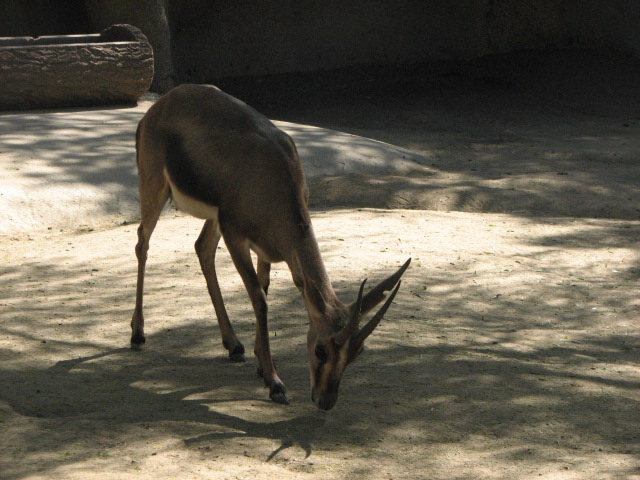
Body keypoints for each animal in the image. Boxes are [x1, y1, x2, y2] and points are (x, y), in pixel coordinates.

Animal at [131, 84, 410, 410]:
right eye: (321, 350)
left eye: (357, 353)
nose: (326, 401)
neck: (272, 177)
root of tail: (161, 104)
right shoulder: (236, 237)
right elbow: (259, 299)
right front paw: (275, 382)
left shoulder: (264, 248)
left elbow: (262, 291)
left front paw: (262, 364)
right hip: (155, 188)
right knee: (143, 242)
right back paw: (137, 335)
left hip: (212, 219)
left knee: (202, 248)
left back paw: (233, 346)